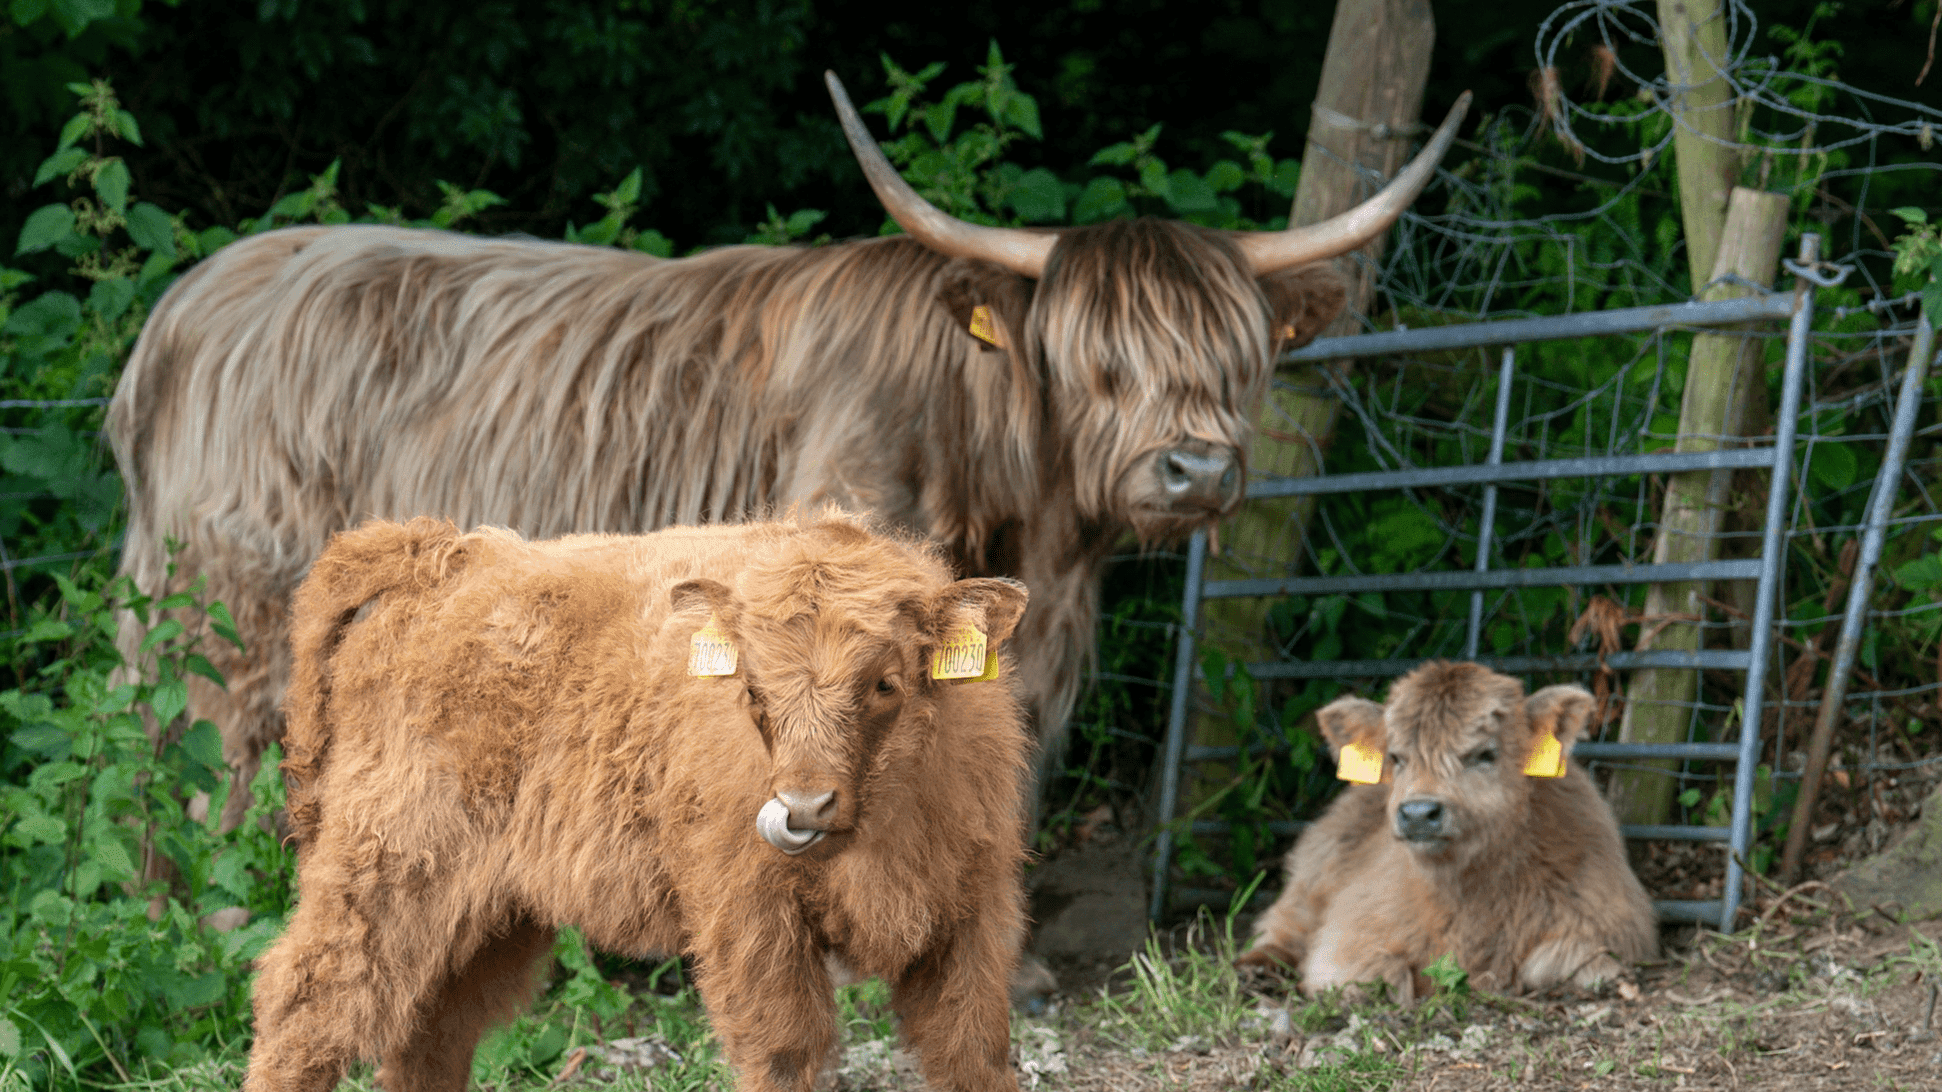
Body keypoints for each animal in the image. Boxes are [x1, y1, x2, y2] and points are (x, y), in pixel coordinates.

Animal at [107, 73, 1470, 829]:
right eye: (1096, 362)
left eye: (1238, 360)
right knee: (195, 760)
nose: (1192, 469)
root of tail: (196, 298)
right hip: (223, 604)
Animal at [246, 511, 1031, 1092]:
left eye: (885, 682)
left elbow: (972, 1051)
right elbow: (782, 1053)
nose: (803, 806)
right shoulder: (752, 923)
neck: (876, 834)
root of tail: (453, 555)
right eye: (753, 691)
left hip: (489, 914)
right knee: (308, 1004)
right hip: (386, 870)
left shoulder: (971, 915)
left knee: (431, 1033)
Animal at [1237, 661, 1657, 998]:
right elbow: (1382, 975)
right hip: (1315, 870)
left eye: (1486, 754)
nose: (1418, 813)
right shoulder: (1343, 940)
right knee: (1282, 922)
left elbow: (1552, 962)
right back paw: (1256, 968)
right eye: (1396, 757)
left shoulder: (1617, 928)